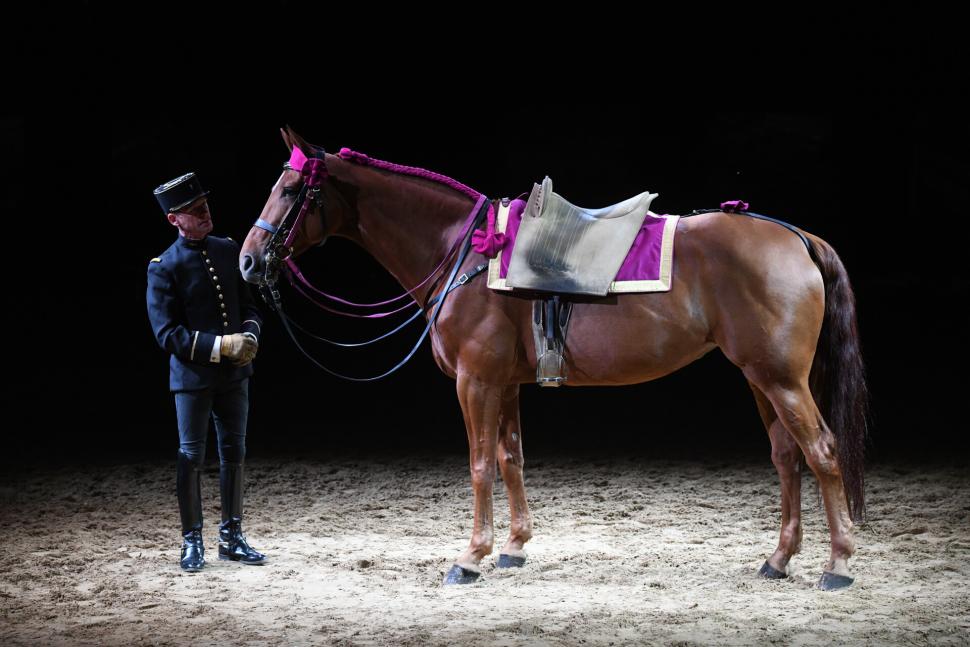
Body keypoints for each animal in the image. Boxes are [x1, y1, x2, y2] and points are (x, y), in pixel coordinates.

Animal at [239, 127, 869, 590]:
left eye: (292, 191)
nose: (247, 260)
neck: (467, 253)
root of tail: (795, 235)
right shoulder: (504, 383)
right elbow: (510, 458)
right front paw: (513, 547)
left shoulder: (475, 382)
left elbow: (478, 465)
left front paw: (470, 557)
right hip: (762, 379)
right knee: (786, 457)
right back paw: (778, 559)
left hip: (782, 379)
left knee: (821, 452)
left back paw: (837, 565)